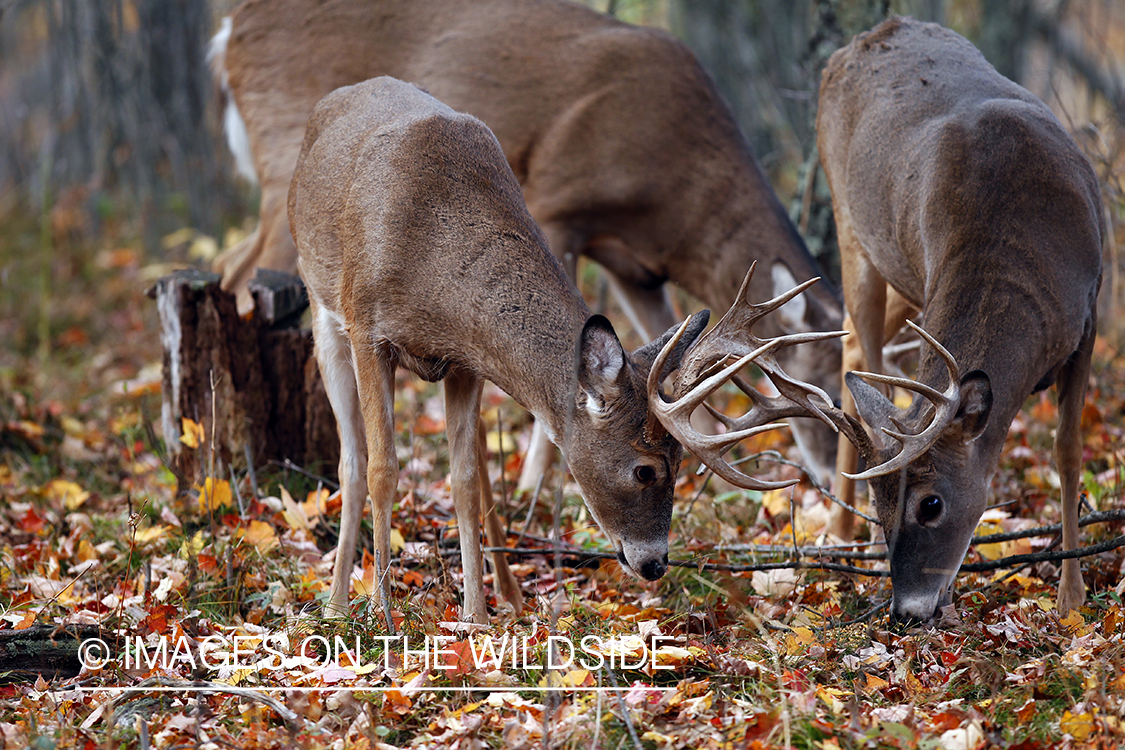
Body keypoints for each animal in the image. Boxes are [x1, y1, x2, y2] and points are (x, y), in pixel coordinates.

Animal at [211, 0, 846, 488]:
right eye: (814, 387)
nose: (827, 479)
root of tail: (227, 32)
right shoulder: (558, 204)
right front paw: (534, 483)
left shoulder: (633, 267)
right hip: (284, 161)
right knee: (242, 278)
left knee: (229, 263)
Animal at [292, 76, 846, 620]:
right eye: (644, 469)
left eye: (681, 463)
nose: (655, 564)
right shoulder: (369, 330)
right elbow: (382, 468)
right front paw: (381, 613)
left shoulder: (465, 360)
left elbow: (466, 480)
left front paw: (476, 618)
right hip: (323, 312)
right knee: (351, 461)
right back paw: (337, 605)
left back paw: (505, 595)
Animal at [814, 20, 1102, 625]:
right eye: (883, 505)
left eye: (931, 504)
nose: (906, 610)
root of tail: (862, 39)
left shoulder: (1088, 315)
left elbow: (1067, 450)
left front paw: (1071, 597)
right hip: (856, 232)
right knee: (863, 353)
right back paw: (839, 531)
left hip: (897, 271)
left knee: (854, 352)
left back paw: (839, 528)